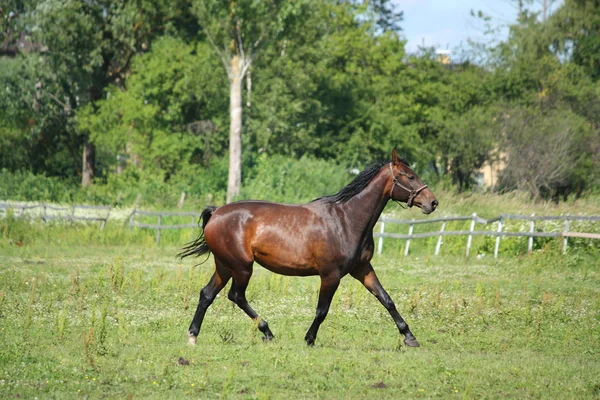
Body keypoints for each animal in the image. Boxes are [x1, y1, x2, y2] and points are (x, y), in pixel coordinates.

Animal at [180, 150, 438, 346]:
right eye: (410, 176)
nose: (432, 202)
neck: (346, 219)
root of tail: (216, 213)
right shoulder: (331, 274)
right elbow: (322, 310)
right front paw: (309, 338)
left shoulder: (363, 269)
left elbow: (386, 299)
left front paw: (410, 337)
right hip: (242, 267)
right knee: (236, 295)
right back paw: (267, 331)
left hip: (224, 266)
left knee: (207, 294)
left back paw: (192, 335)